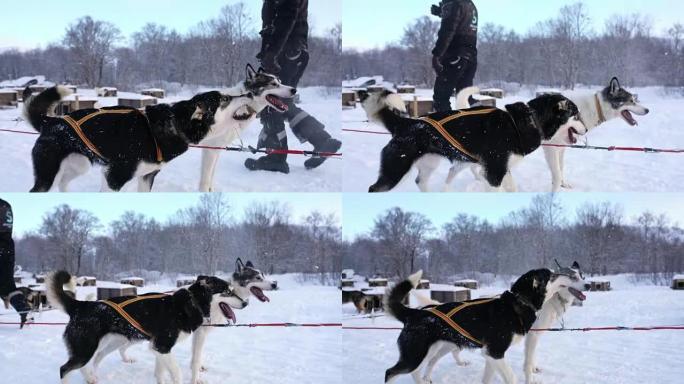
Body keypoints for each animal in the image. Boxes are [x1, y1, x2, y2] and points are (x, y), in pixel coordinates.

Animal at [23, 85, 256, 191]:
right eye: (225, 99)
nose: (250, 94)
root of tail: (52, 121)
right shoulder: (114, 178)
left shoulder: (146, 177)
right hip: (48, 174)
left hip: (79, 165)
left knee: (63, 182)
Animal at [45, 270, 244, 384]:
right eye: (227, 292)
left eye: (232, 290)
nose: (245, 303)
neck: (191, 303)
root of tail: (81, 305)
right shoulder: (162, 347)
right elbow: (177, 374)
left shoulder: (158, 349)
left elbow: (161, 373)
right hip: (85, 350)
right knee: (64, 369)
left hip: (106, 345)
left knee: (94, 360)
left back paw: (92, 379)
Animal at [195, 65, 296, 194]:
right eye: (273, 84)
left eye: (280, 82)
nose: (294, 90)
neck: (241, 106)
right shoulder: (210, 149)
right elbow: (206, 180)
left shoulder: (216, 149)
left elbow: (211, 176)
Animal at [358, 89, 588, 192]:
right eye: (576, 115)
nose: (586, 130)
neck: (525, 121)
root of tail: (407, 123)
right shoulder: (494, 172)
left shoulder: (502, 169)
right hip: (395, 170)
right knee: (375, 189)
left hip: (429, 164)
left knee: (421, 181)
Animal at [414, 260, 592, 384]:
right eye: (572, 277)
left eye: (582, 276)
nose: (589, 284)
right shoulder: (520, 341)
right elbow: (526, 364)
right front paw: (530, 377)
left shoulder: (526, 339)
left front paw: (534, 368)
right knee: (428, 362)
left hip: (451, 342)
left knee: (439, 357)